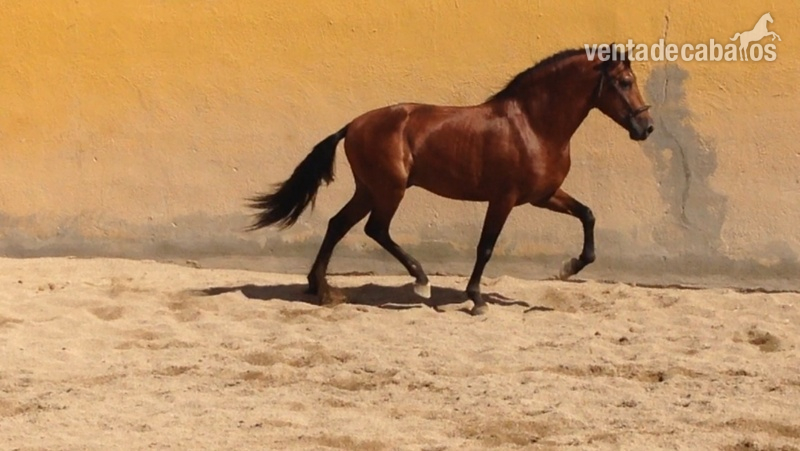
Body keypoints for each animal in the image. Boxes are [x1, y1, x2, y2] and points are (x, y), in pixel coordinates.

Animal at [247, 47, 654, 315]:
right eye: (624, 81)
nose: (645, 127)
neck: (534, 125)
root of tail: (353, 125)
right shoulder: (503, 198)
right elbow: (485, 247)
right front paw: (475, 299)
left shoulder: (545, 194)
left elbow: (587, 214)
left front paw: (570, 267)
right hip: (390, 190)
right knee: (375, 229)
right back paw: (420, 282)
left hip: (369, 189)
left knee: (338, 225)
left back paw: (322, 289)